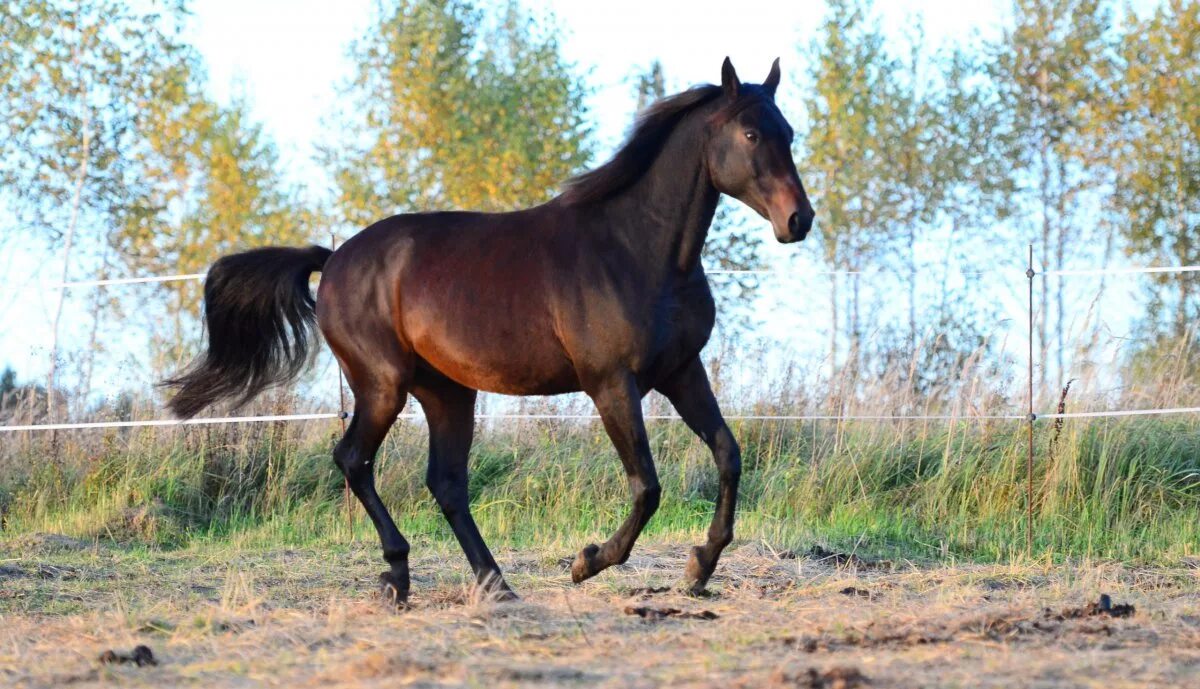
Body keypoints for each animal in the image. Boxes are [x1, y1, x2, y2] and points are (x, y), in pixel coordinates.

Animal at [166, 56, 816, 602]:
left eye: (787, 131)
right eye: (751, 134)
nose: (799, 220)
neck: (636, 250)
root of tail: (336, 258)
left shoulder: (681, 370)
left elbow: (728, 454)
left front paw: (699, 567)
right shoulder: (611, 383)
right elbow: (647, 486)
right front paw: (587, 562)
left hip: (447, 392)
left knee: (447, 484)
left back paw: (495, 583)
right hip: (383, 386)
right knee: (354, 460)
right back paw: (398, 575)